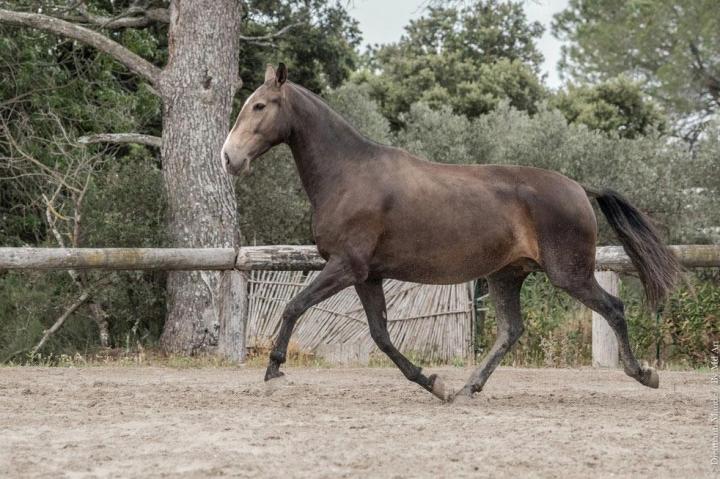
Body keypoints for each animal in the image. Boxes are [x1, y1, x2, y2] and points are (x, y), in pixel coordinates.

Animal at [221, 63, 680, 402]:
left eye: (259, 106)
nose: (229, 158)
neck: (349, 175)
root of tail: (580, 188)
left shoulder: (345, 266)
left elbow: (294, 307)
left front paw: (274, 370)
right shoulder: (368, 275)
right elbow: (381, 336)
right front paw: (435, 384)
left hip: (569, 273)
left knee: (613, 308)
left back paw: (644, 373)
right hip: (506, 275)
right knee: (510, 331)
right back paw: (466, 388)